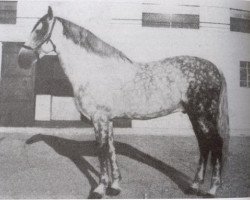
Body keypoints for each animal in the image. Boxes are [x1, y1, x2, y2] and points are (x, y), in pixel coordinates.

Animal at [19, 6, 230, 198]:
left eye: (40, 29)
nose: (22, 59)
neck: (95, 70)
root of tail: (215, 68)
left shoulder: (99, 118)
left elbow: (101, 150)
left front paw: (100, 188)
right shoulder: (108, 120)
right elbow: (110, 150)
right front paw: (115, 187)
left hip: (203, 115)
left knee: (216, 143)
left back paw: (212, 189)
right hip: (195, 115)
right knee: (204, 144)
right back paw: (194, 186)